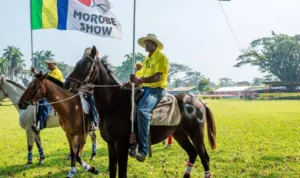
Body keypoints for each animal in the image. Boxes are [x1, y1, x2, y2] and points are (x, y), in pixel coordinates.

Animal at [64, 46, 217, 178]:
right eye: (77, 63)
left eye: (86, 65)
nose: (67, 84)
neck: (113, 103)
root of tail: (198, 101)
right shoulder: (111, 144)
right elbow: (113, 170)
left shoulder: (121, 145)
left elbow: (122, 173)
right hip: (180, 134)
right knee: (192, 154)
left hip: (196, 134)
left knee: (204, 157)